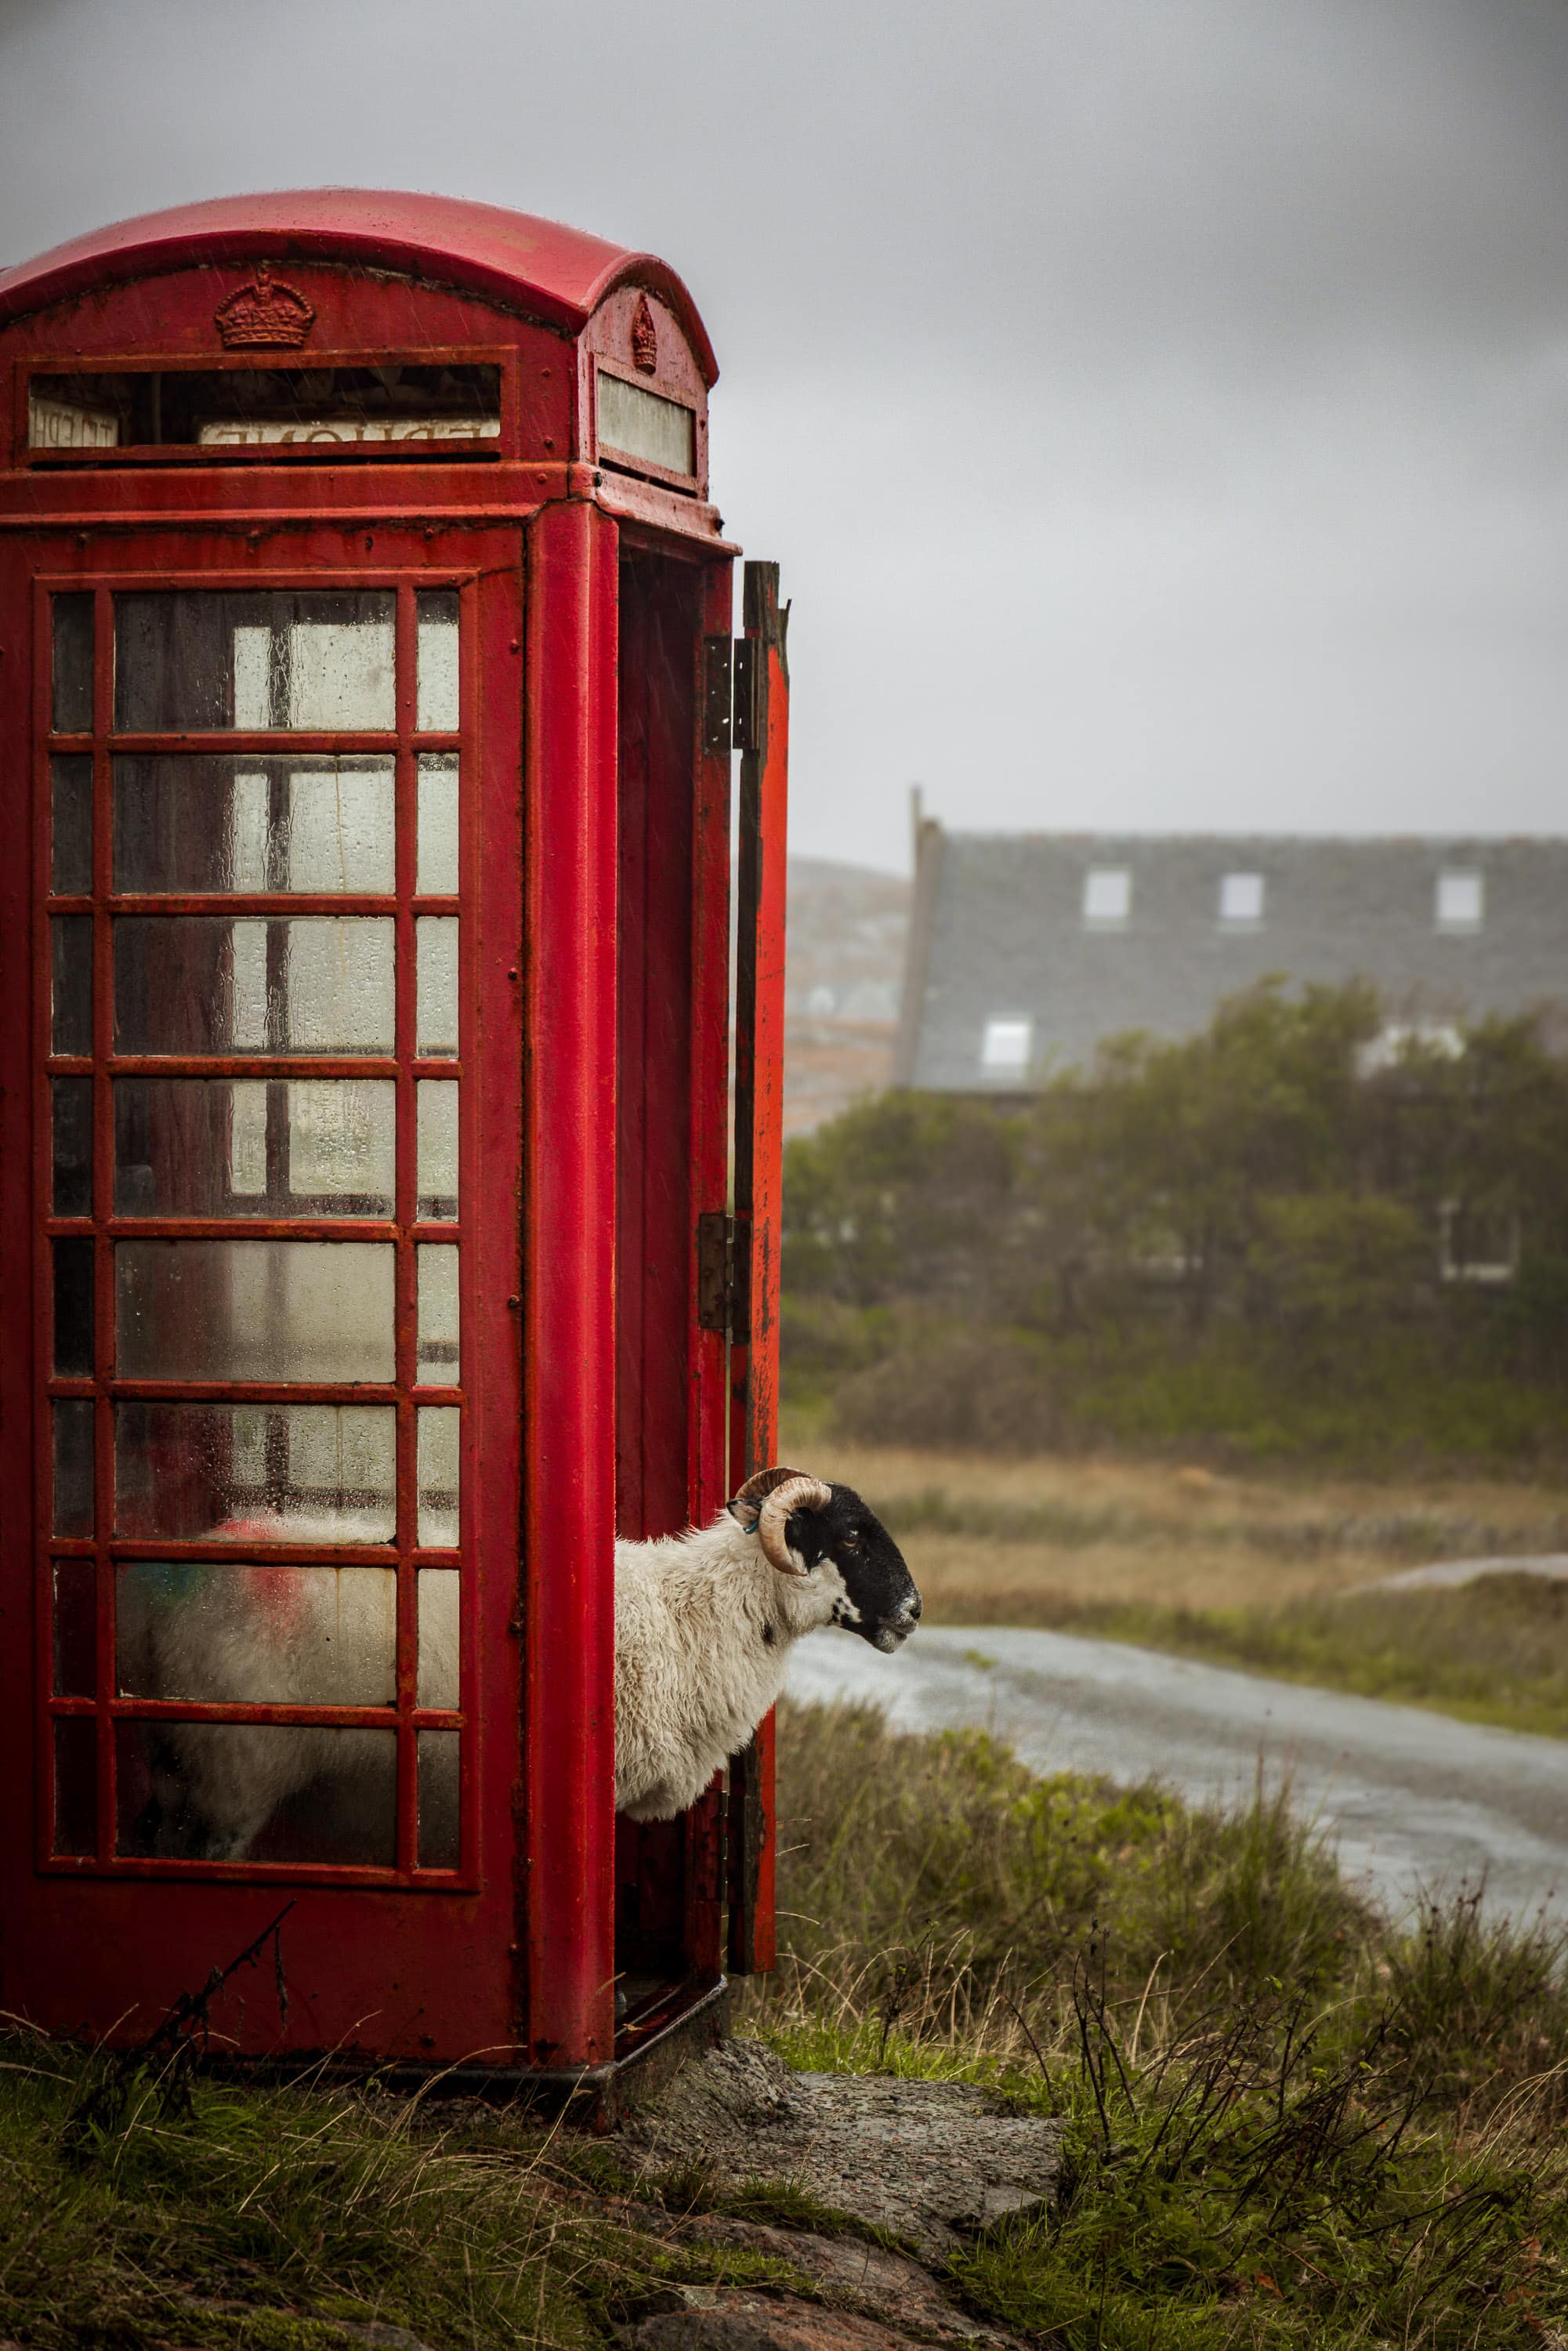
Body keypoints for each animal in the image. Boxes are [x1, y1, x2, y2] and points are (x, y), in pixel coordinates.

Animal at [120, 1464, 921, 1859]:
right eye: (851, 1538)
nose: (913, 1613)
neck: (696, 1612)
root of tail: (166, 1596)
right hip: (234, 1759)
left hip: (173, 1755)